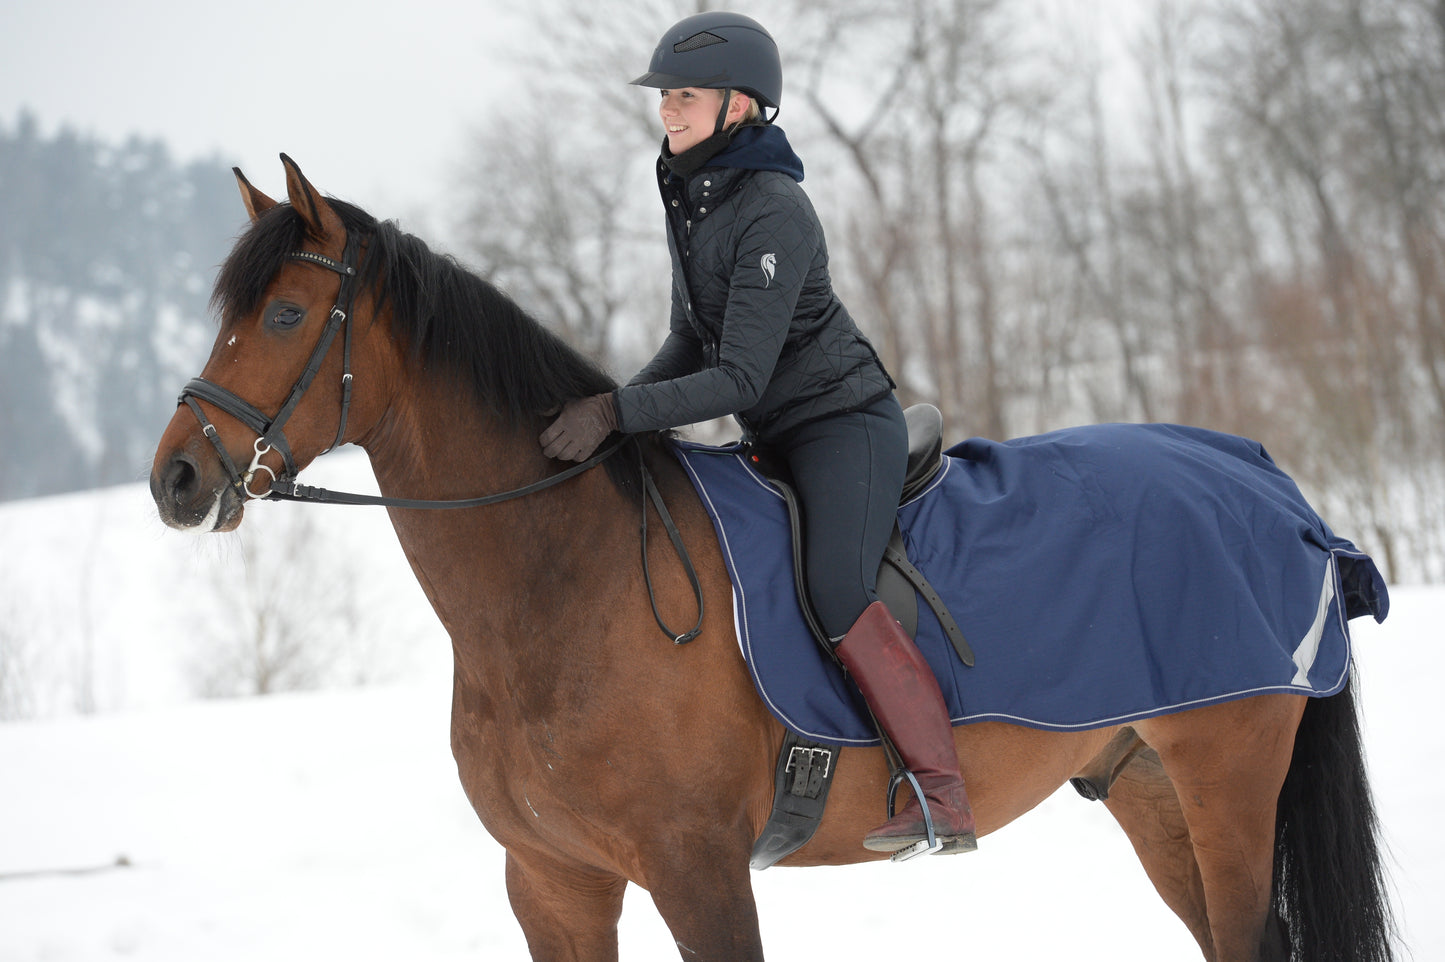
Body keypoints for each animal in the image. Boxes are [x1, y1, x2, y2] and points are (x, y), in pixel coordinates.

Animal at [149, 157, 1398, 959]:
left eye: (284, 315)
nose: (177, 476)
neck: (562, 590)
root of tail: (1263, 480)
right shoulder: (553, 882)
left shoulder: (696, 872)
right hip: (1148, 787)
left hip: (1225, 774)